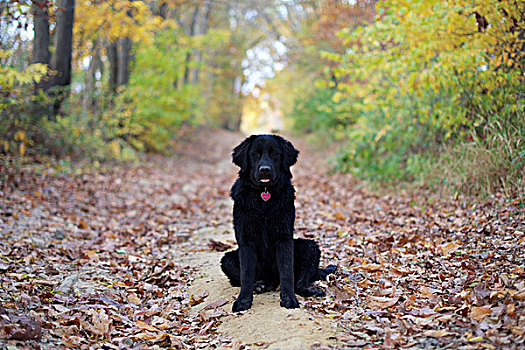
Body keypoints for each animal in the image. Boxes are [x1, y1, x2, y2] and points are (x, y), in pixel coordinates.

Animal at [220, 134, 336, 312]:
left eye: (275, 154)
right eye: (255, 154)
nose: (265, 170)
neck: (264, 197)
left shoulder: (284, 238)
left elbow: (287, 273)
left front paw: (289, 299)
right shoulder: (246, 240)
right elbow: (246, 274)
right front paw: (243, 301)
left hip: (309, 246)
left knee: (299, 282)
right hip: (227, 258)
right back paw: (259, 285)